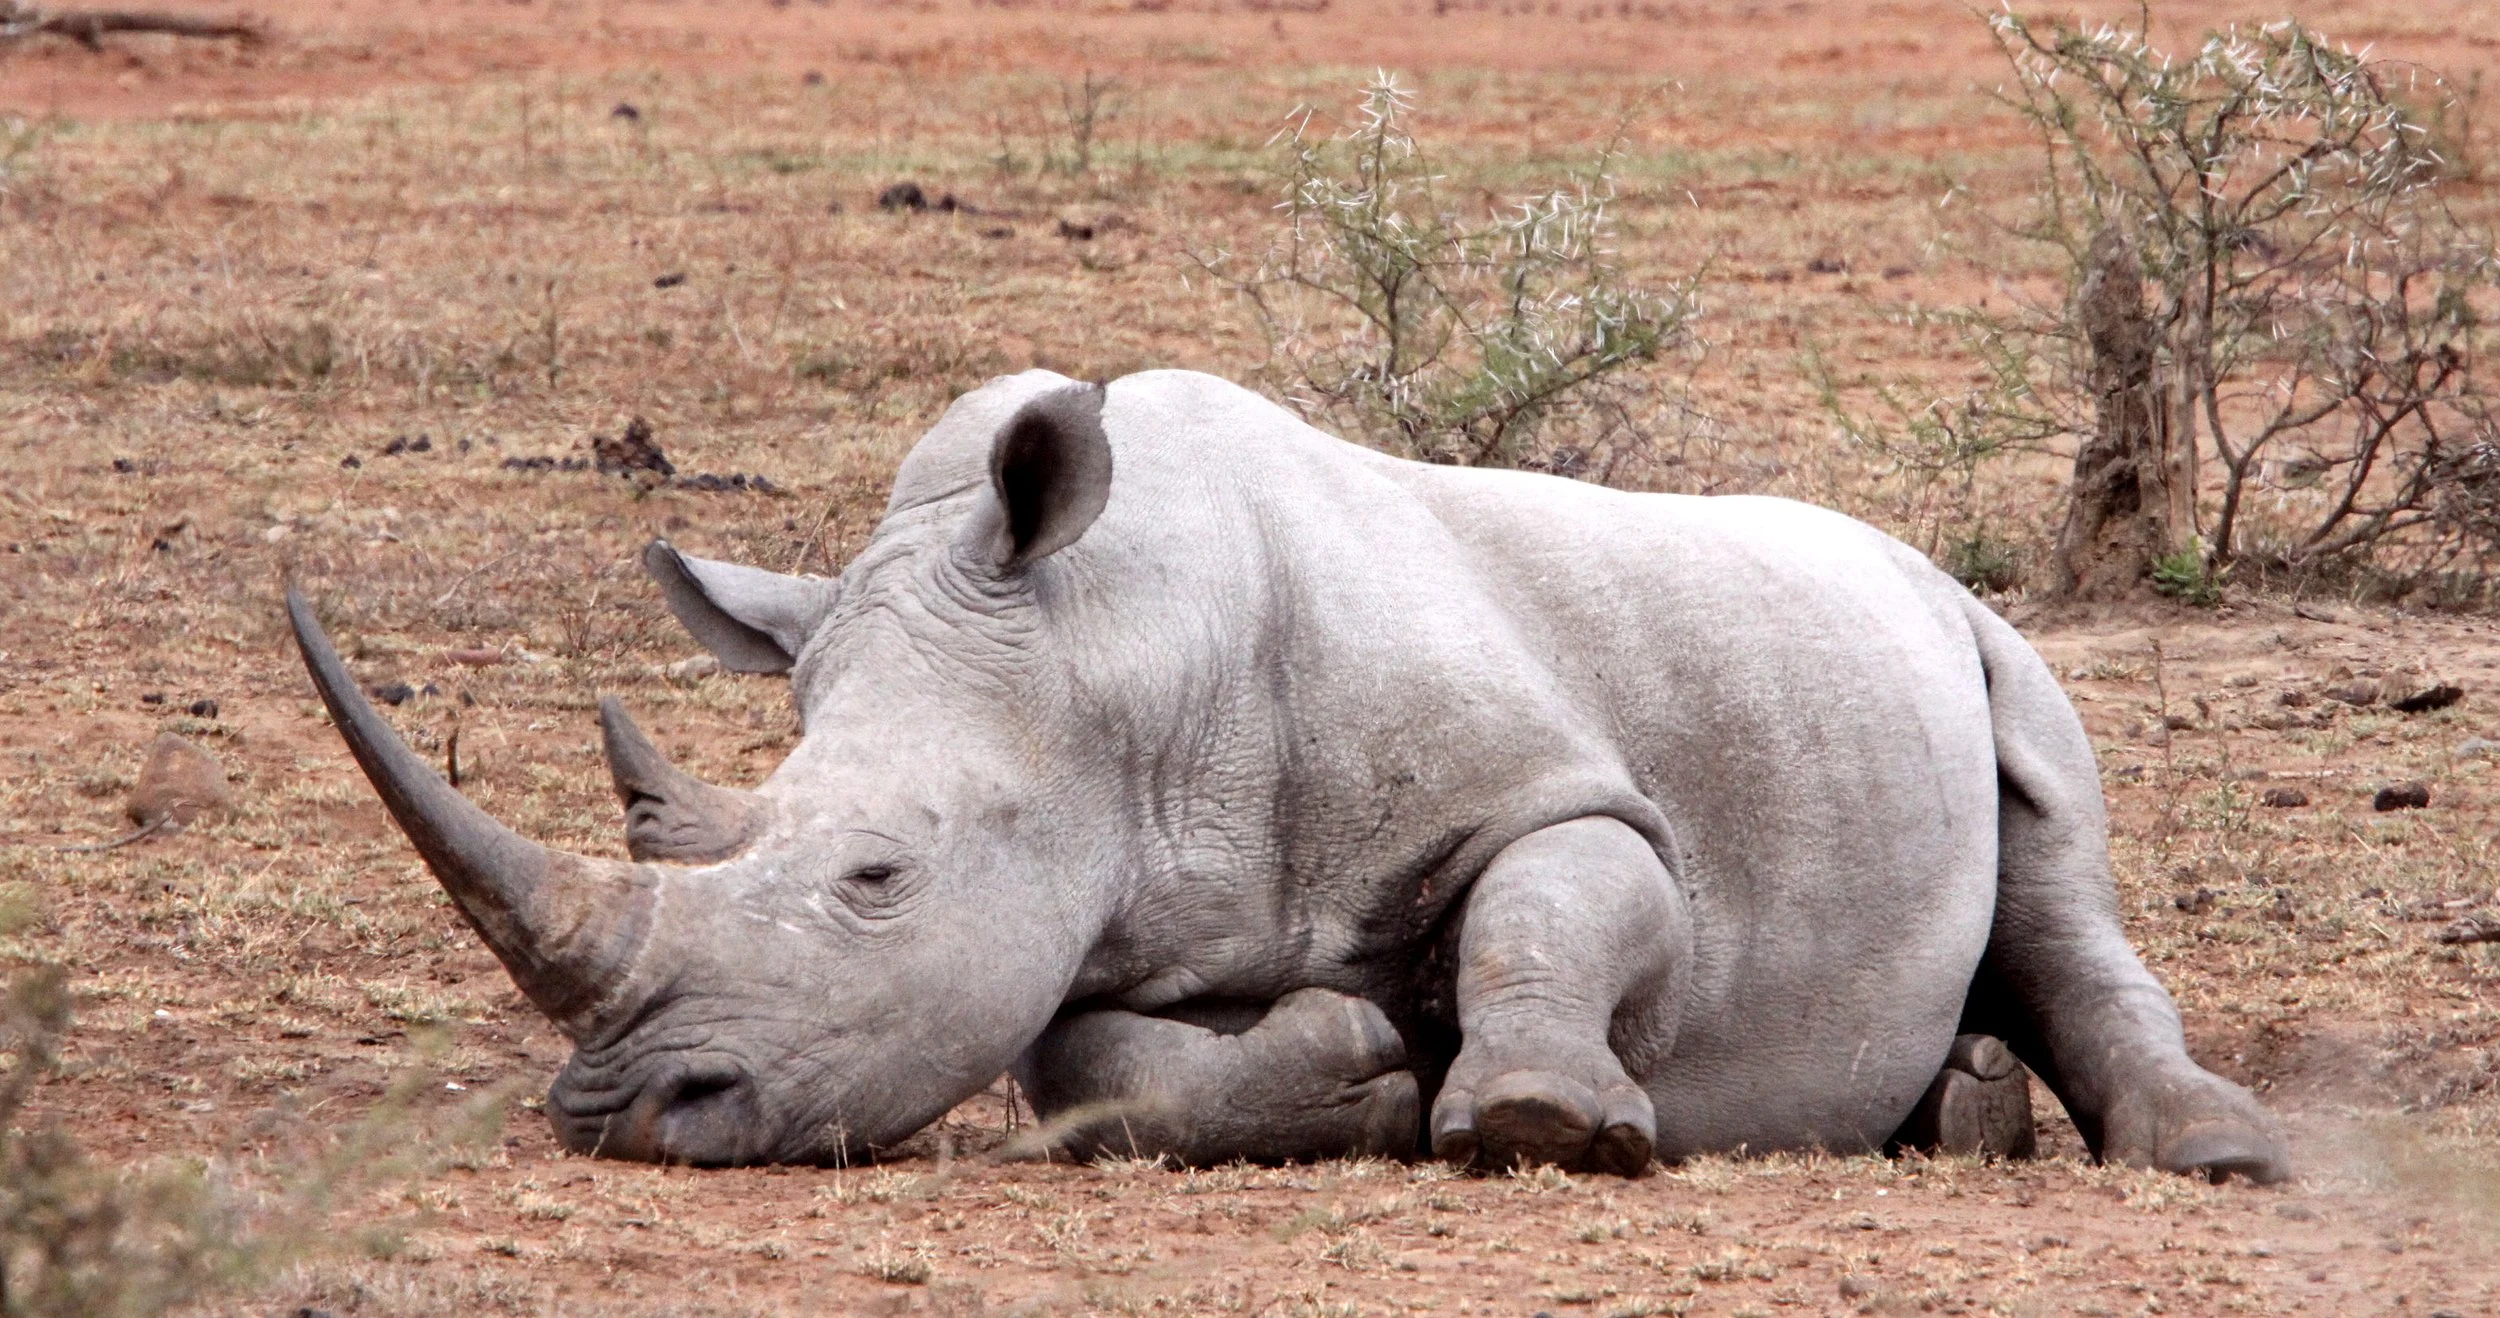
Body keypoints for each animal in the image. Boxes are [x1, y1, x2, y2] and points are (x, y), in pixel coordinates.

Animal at [286, 368, 2290, 1182]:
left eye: (875, 878)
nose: (619, 1109)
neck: (1113, 652)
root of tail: (1896, 554)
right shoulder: (1089, 915)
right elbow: (1097, 1065)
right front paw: (1357, 1062)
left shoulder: (1567, 786)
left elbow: (1563, 895)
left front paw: (1529, 1115)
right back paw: (1961, 1115)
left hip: (1971, 627)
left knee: (2058, 861)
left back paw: (2211, 1152)